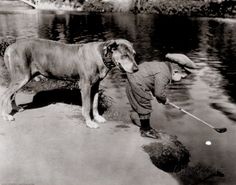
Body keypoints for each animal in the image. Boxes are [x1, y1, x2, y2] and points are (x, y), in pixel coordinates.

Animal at [0, 38, 138, 128]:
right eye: (125, 55)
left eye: (134, 54)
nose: (136, 69)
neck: (100, 54)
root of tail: (10, 47)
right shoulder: (85, 86)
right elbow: (87, 106)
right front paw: (89, 122)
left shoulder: (95, 85)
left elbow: (94, 104)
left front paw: (97, 117)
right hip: (21, 77)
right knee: (5, 95)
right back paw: (6, 116)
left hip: (22, 78)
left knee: (11, 94)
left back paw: (15, 108)